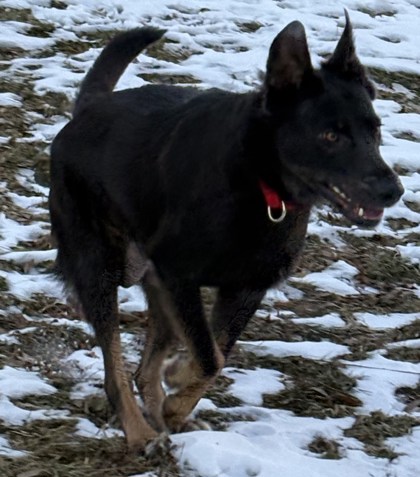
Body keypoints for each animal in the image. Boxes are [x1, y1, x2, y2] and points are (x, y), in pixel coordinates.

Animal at [49, 12, 403, 452]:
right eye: (330, 135)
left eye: (376, 129)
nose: (393, 190)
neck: (258, 180)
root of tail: (89, 109)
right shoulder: (179, 277)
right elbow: (209, 354)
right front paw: (179, 380)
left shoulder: (244, 287)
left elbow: (218, 352)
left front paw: (178, 396)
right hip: (99, 268)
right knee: (115, 368)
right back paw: (140, 431)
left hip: (155, 283)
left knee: (146, 368)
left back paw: (164, 415)